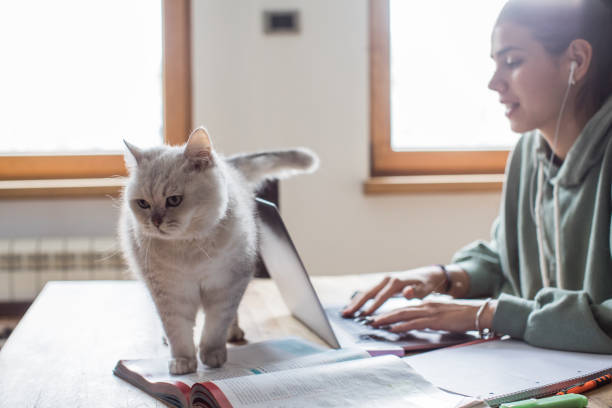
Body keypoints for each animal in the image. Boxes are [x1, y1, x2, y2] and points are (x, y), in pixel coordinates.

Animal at [119, 127, 320, 372]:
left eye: (174, 200)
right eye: (143, 204)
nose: (155, 222)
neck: (189, 249)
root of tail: (228, 163)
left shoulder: (227, 285)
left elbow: (216, 325)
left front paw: (212, 355)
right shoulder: (169, 293)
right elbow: (178, 331)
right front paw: (183, 362)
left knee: (231, 317)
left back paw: (233, 334)